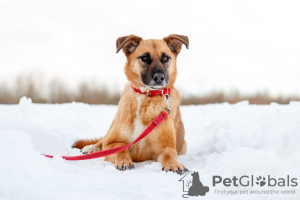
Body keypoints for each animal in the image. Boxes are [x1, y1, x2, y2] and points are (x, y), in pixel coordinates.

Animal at [72, 34, 189, 173]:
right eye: (145, 58)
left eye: (165, 58)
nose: (159, 78)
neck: (145, 96)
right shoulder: (112, 142)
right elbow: (120, 150)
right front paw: (124, 161)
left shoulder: (165, 147)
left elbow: (169, 155)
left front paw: (173, 164)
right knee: (101, 141)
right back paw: (90, 148)